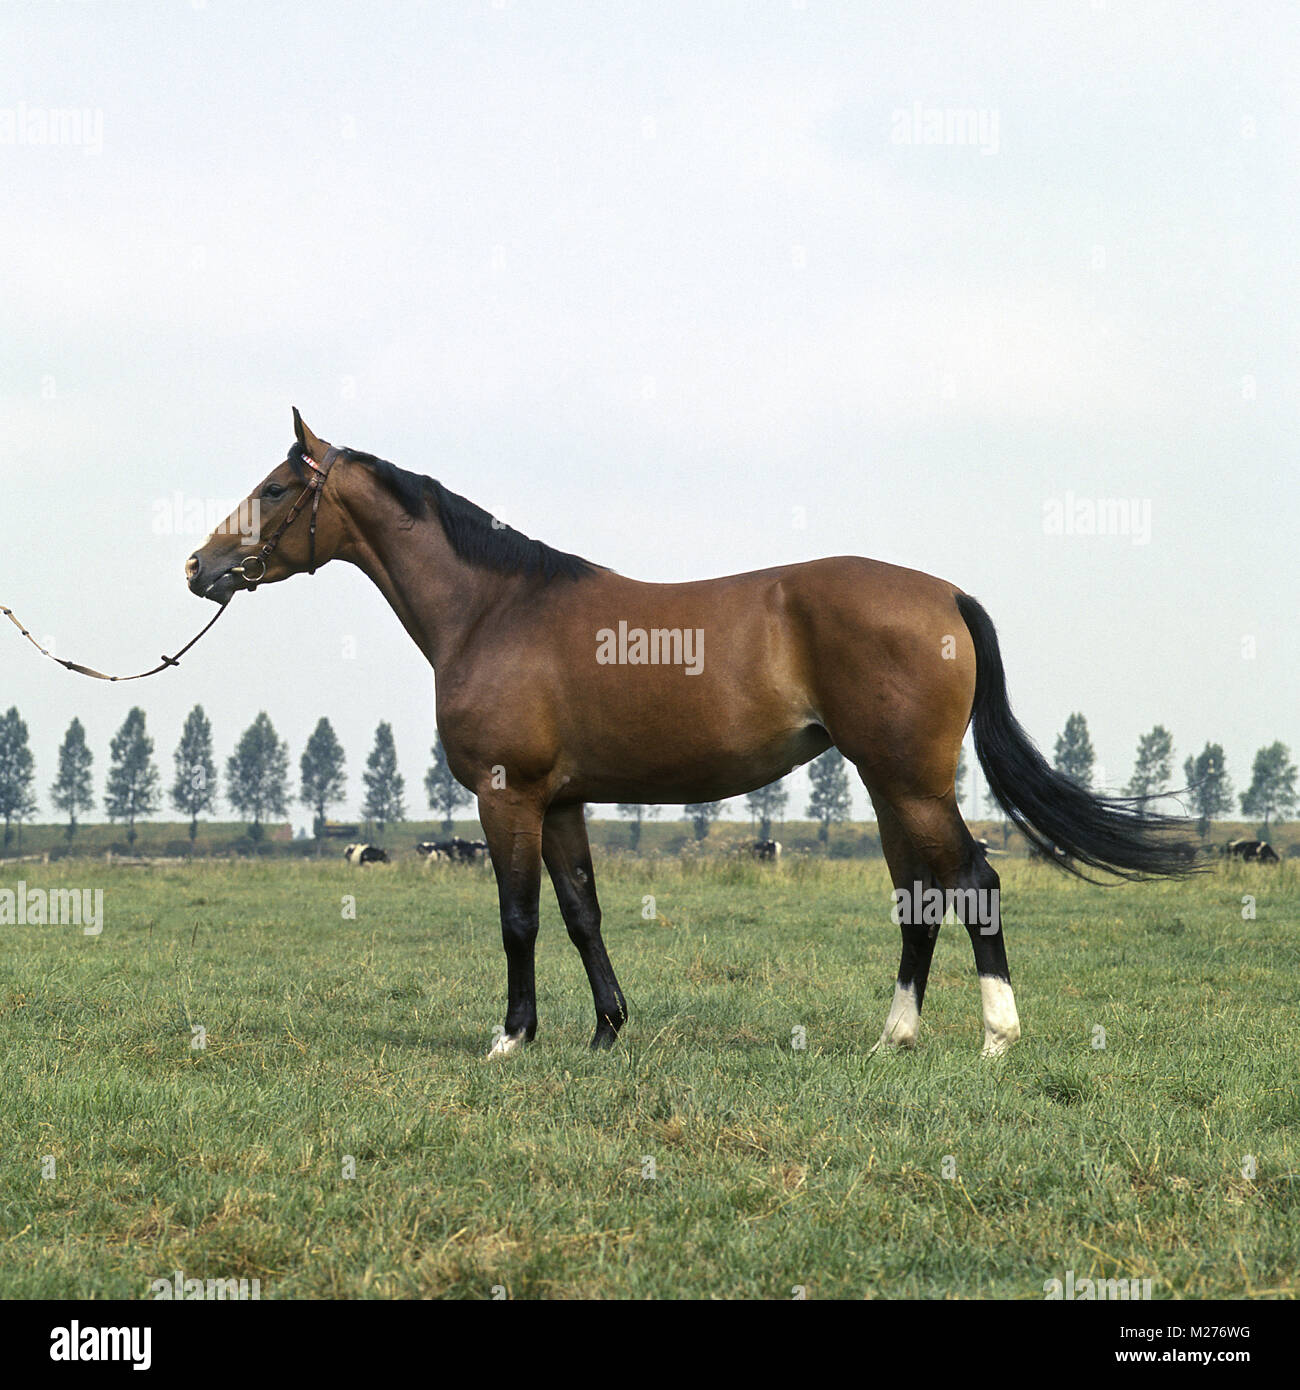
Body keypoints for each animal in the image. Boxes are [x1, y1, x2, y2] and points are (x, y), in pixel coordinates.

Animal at [183, 405, 1201, 1056]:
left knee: (972, 882)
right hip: (885, 785)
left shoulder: (509, 798)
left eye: (274, 488)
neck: (495, 610)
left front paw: (512, 1038)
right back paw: (894, 1038)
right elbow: (582, 912)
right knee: (918, 896)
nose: (200, 566)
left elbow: (519, 918)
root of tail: (944, 594)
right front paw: (606, 1030)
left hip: (911, 781)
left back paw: (997, 1037)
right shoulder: (563, 802)